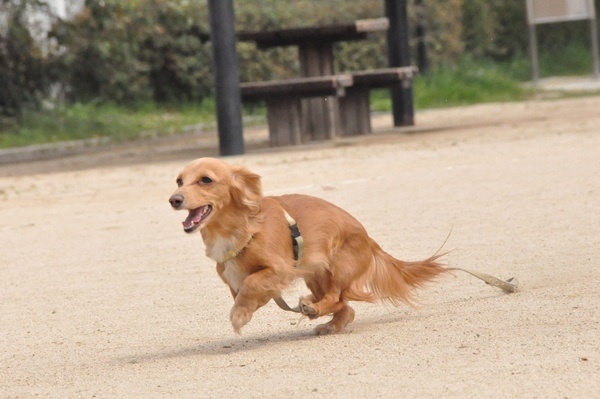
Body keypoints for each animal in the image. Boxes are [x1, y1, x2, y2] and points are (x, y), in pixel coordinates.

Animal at [169, 158, 446, 336]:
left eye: (206, 180)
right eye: (179, 180)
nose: (174, 199)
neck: (244, 229)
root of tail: (370, 240)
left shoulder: (280, 269)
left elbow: (252, 283)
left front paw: (239, 315)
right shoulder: (237, 280)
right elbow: (247, 291)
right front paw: (244, 311)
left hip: (338, 270)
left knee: (335, 299)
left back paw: (314, 308)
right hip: (315, 276)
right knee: (345, 308)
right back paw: (323, 318)